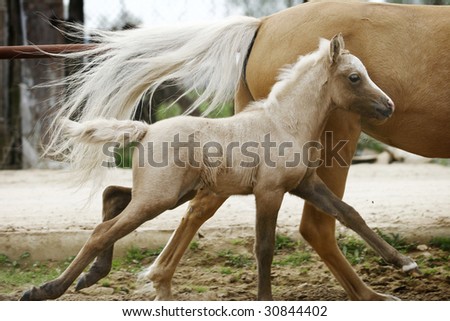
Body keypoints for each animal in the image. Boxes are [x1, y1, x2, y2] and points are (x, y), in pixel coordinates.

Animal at [29, 1, 450, 300]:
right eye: (354, 77)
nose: (388, 106)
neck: (284, 122)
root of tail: (145, 130)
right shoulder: (269, 191)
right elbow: (264, 247)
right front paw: (264, 299)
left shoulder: (306, 184)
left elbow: (350, 214)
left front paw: (404, 263)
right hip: (160, 197)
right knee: (104, 229)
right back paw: (46, 289)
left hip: (170, 193)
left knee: (113, 197)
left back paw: (92, 276)